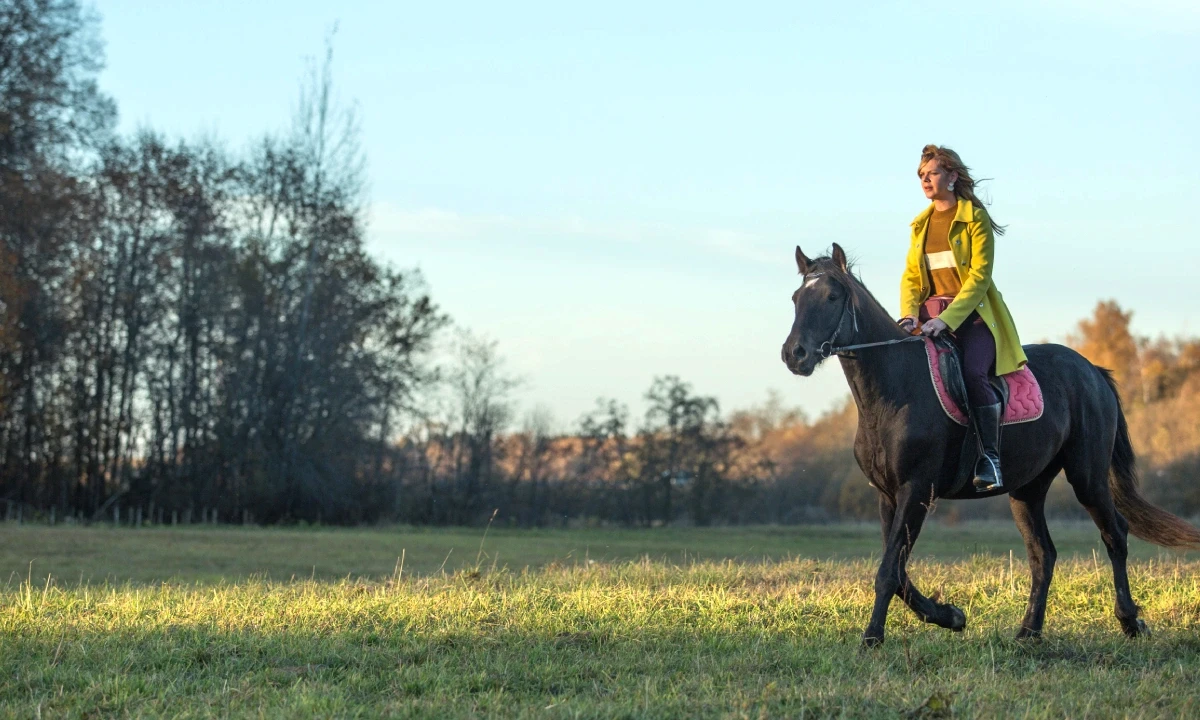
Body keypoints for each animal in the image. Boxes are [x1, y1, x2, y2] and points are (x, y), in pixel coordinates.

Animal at [780, 243, 1200, 647]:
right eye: (796, 298)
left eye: (832, 296)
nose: (793, 354)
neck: (895, 388)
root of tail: (1092, 371)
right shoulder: (888, 494)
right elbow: (897, 570)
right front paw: (950, 616)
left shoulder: (917, 490)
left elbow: (888, 571)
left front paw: (872, 638)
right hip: (1027, 489)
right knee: (1043, 554)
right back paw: (1029, 632)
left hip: (1088, 477)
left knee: (1116, 535)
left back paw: (1130, 622)